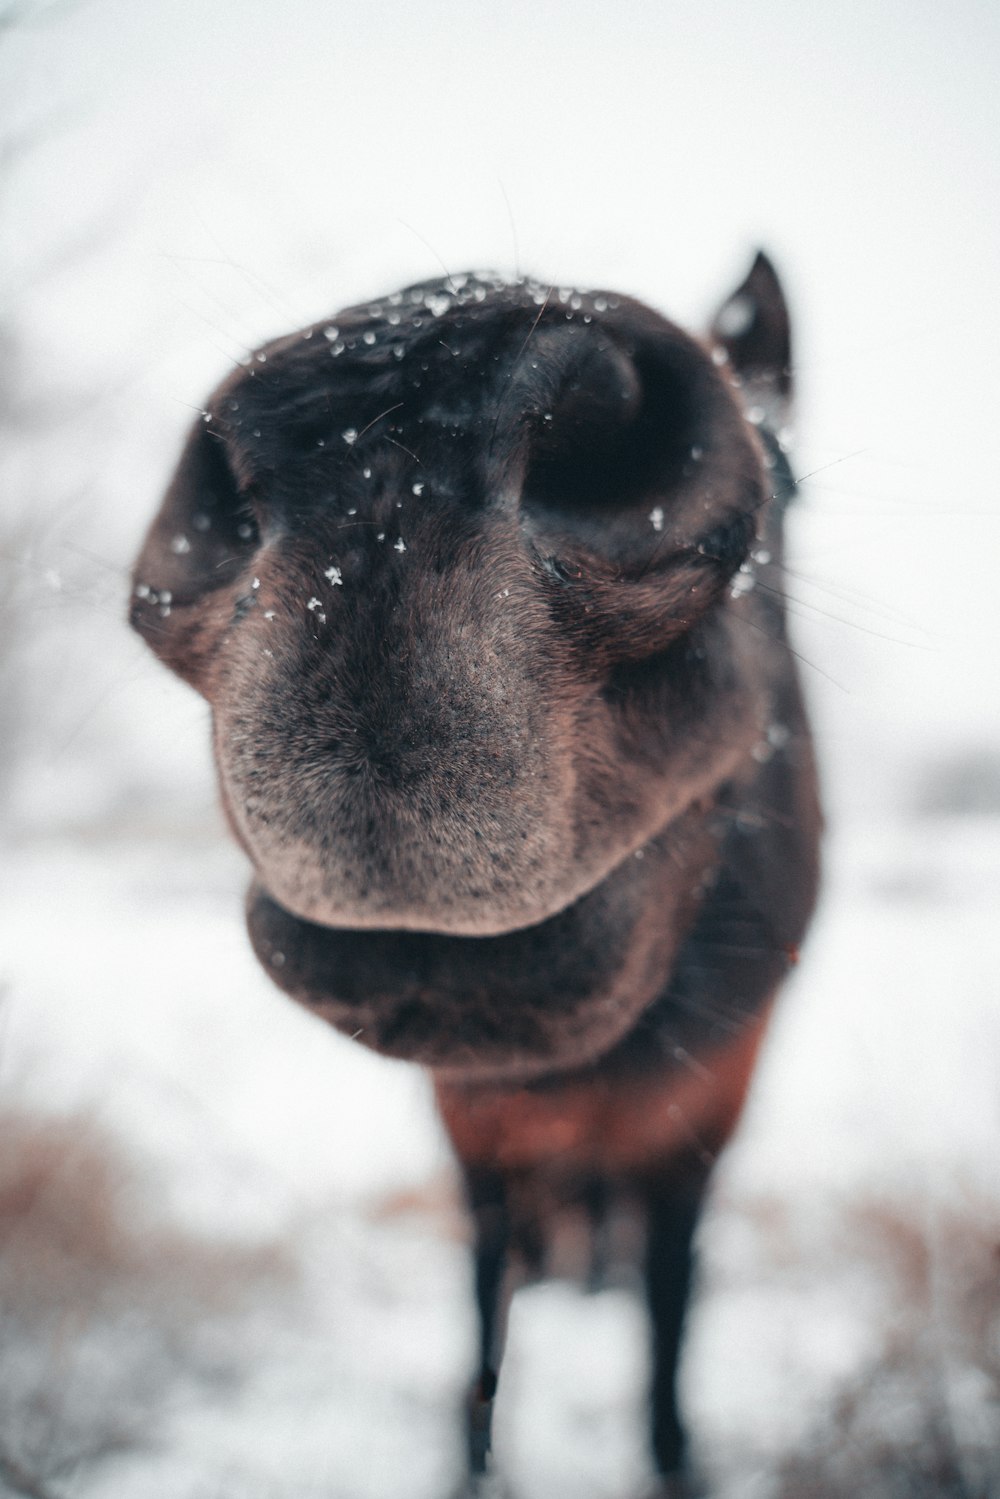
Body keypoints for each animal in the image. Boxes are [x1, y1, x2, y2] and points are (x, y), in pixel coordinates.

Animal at [131, 251, 821, 1493]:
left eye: (789, 474)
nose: (386, 466)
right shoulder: (476, 1138)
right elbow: (486, 1308)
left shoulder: (703, 1126)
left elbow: (670, 1304)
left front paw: (673, 1455)